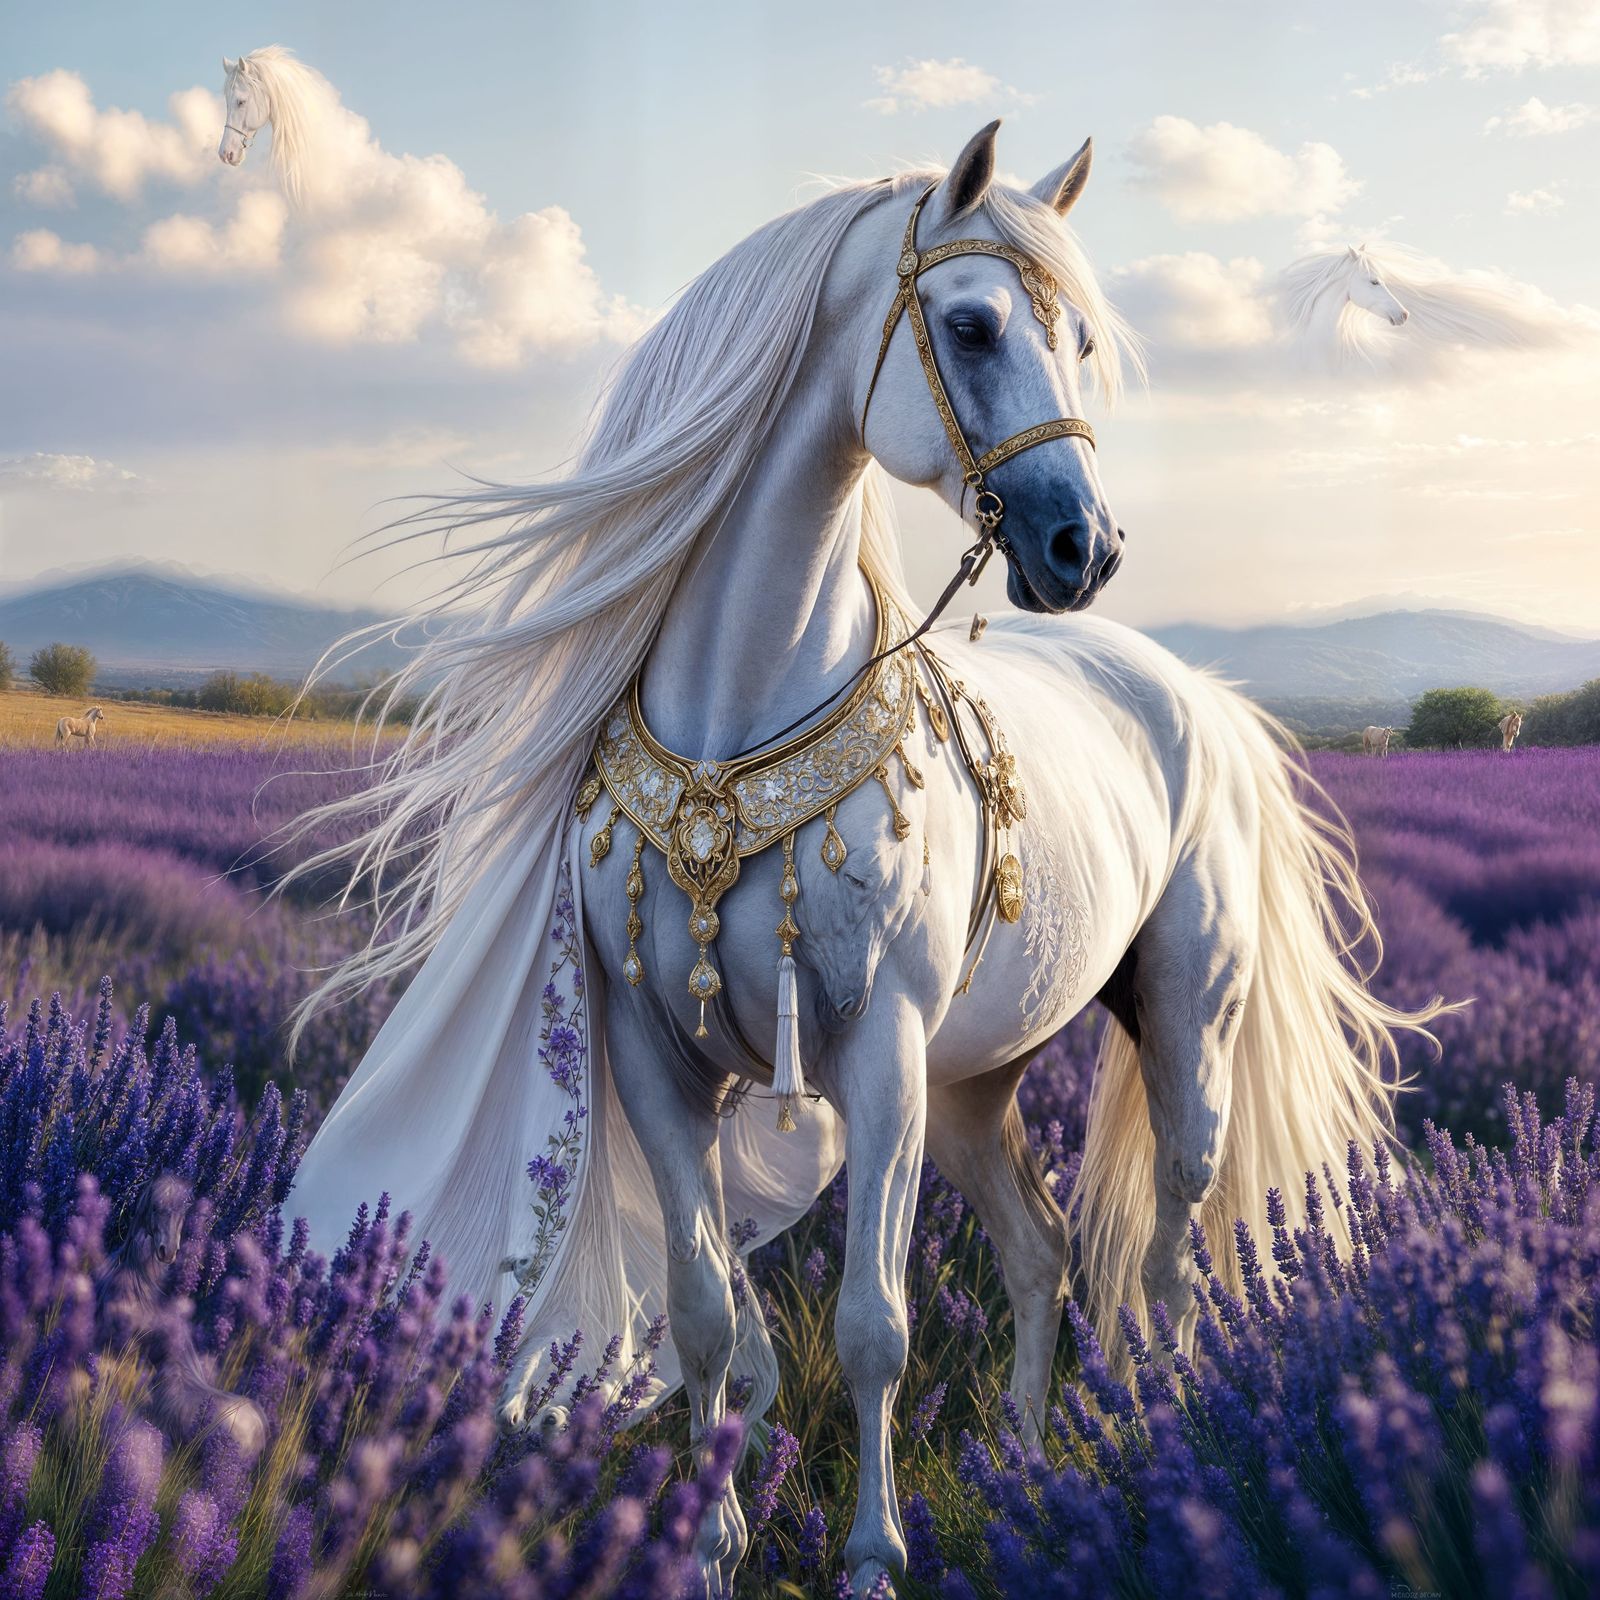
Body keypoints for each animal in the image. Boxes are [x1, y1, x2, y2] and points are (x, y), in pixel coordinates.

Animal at [281, 123, 1444, 1598]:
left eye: (1079, 337)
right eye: (972, 323)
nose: (1084, 546)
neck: (733, 736)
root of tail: (1202, 697)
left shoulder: (878, 1053)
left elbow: (872, 1325)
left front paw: (874, 1560)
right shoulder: (665, 1065)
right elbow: (706, 1315)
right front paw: (707, 1541)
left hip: (1183, 1021)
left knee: (1173, 1247)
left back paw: (1175, 1446)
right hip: (975, 1077)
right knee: (1039, 1248)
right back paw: (1023, 1465)